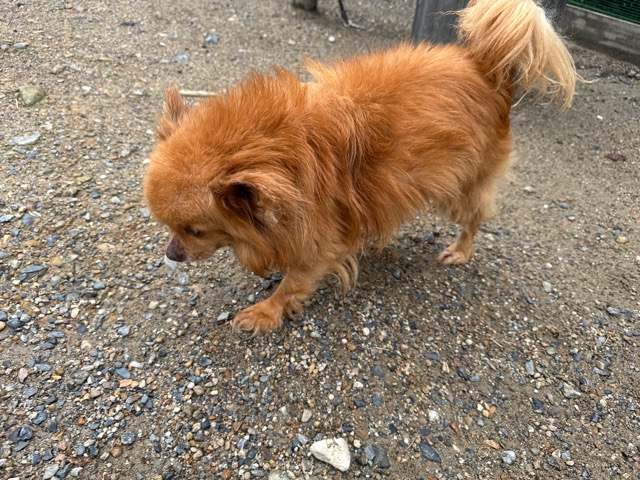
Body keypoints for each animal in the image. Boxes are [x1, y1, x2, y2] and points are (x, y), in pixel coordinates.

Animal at [144, 0, 577, 333]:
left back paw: (460, 250)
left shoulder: (321, 240)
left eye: (196, 230)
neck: (278, 149)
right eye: (168, 228)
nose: (171, 254)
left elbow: (294, 281)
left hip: (461, 184)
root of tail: (485, 65)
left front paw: (266, 311)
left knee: (474, 218)